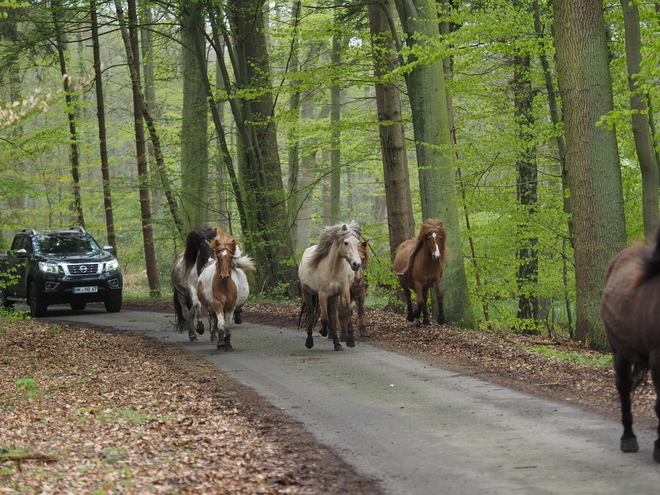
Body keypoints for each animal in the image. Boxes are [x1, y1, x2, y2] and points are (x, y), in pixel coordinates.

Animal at [298, 221, 360, 352]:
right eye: (345, 242)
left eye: (357, 243)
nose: (356, 264)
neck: (333, 269)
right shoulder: (322, 294)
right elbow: (324, 318)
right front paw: (322, 331)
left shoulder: (344, 291)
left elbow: (347, 311)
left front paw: (350, 340)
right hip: (307, 293)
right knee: (311, 313)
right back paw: (309, 341)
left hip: (334, 297)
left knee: (332, 317)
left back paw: (336, 343)